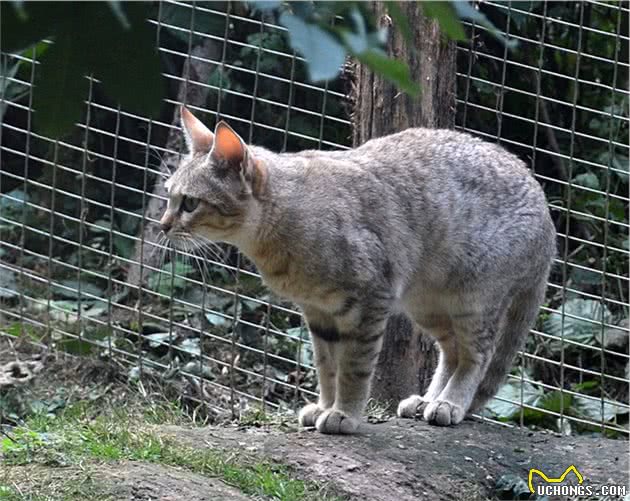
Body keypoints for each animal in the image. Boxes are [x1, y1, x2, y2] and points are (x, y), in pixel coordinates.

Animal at [162, 106, 556, 434]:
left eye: (190, 203)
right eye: (168, 195)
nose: (163, 225)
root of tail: (547, 214)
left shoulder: (369, 301)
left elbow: (353, 368)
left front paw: (344, 413)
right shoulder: (318, 313)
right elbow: (326, 368)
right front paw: (325, 405)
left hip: (472, 299)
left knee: (477, 355)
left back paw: (450, 402)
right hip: (427, 305)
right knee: (452, 351)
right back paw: (428, 399)